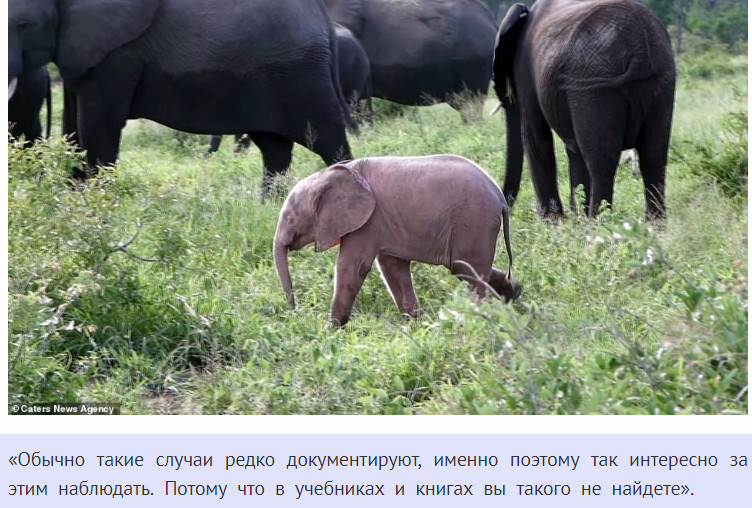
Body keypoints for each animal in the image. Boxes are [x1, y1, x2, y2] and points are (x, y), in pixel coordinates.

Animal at [9, 0, 352, 190]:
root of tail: (324, 19)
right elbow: (73, 129)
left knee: (329, 140)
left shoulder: (118, 55)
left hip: (301, 72)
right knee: (274, 148)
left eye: (23, 25)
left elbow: (98, 126)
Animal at [494, 0, 676, 218]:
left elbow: (536, 139)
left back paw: (598, 223)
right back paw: (653, 225)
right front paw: (574, 219)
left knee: (602, 162)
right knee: (654, 156)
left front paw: (555, 222)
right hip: (660, 79)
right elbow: (573, 149)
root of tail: (639, 46)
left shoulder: (526, 72)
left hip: (595, 85)